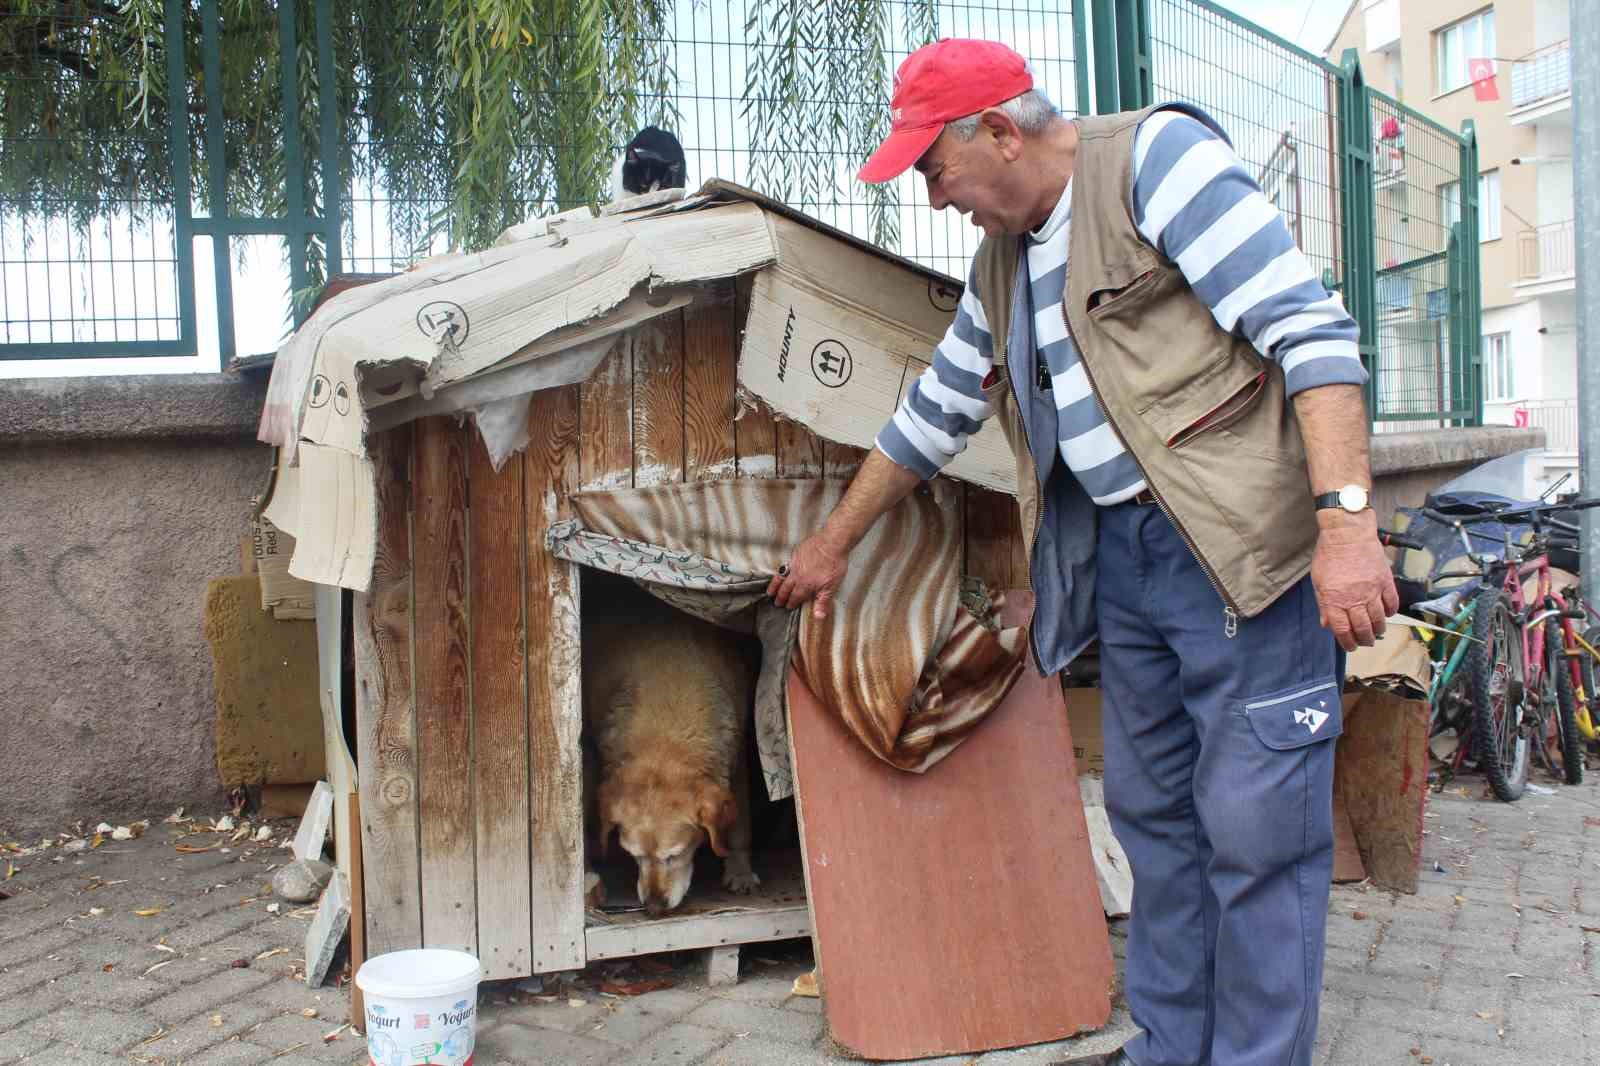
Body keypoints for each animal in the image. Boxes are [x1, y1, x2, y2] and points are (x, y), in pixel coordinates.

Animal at [582, 573, 761, 915]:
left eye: (675, 855)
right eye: (633, 855)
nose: (653, 908)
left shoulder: (738, 756)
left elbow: (741, 825)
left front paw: (740, 871)